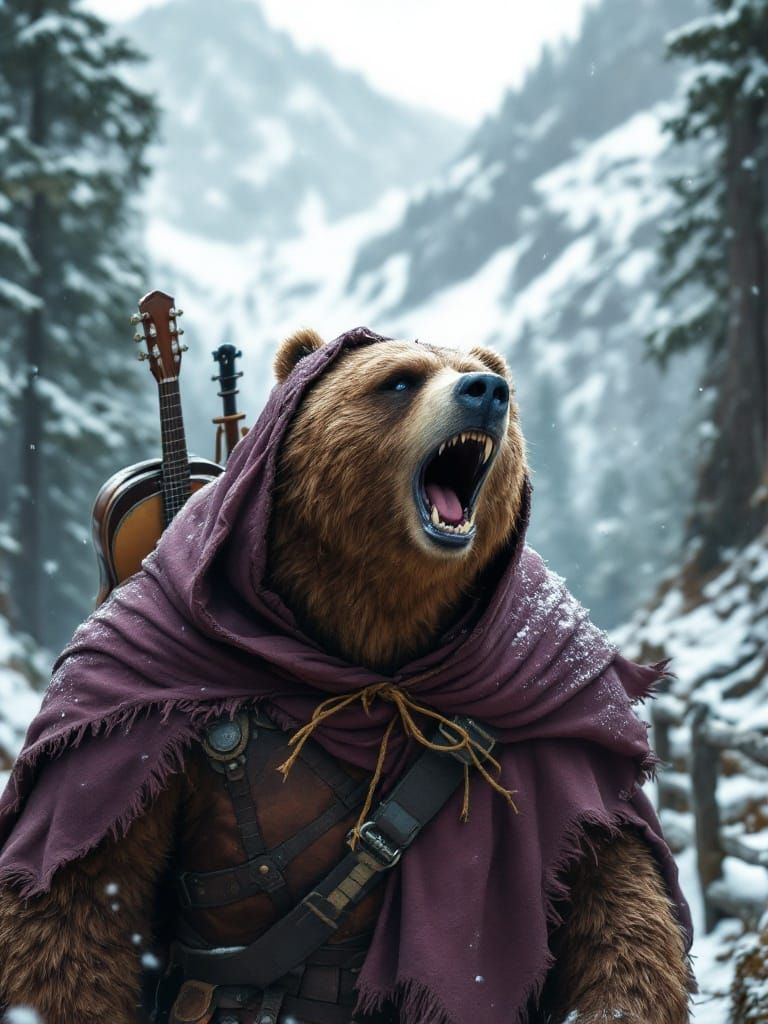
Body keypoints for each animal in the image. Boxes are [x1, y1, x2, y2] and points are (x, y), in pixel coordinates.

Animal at [0, 326, 693, 1024]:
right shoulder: (128, 701)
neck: (370, 648)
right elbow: (81, 891)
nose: (487, 391)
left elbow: (606, 872)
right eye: (400, 380)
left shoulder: (557, 701)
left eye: (495, 384)